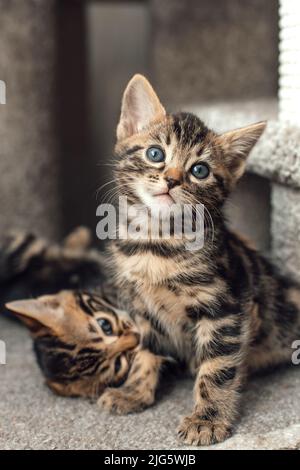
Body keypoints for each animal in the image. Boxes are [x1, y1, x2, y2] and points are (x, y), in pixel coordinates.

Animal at [98, 73, 300, 444]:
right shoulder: (143, 309)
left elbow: (217, 369)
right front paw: (134, 392)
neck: (158, 240)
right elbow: (145, 351)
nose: (172, 180)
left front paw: (207, 419)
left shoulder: (224, 308)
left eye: (200, 170)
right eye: (155, 153)